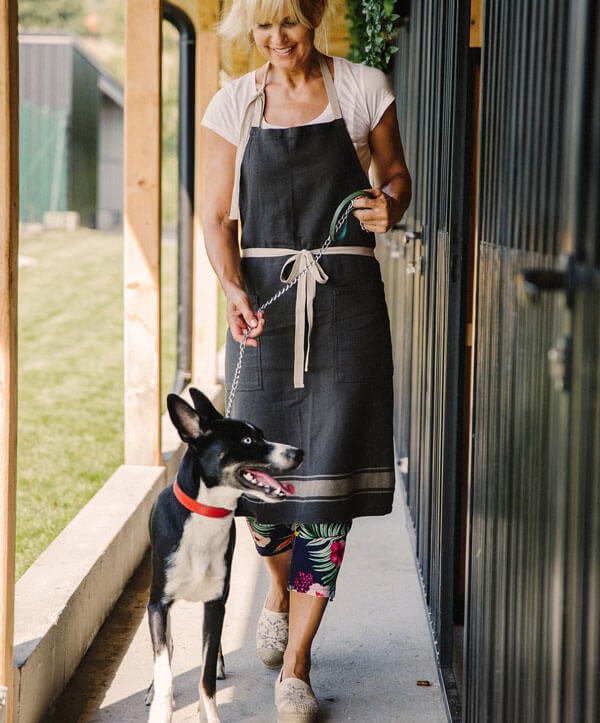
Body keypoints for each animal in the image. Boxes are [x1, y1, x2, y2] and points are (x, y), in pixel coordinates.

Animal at [145, 388, 303, 723]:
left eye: (262, 434)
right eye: (247, 440)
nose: (299, 452)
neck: (205, 516)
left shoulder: (216, 603)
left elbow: (205, 677)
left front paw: (209, 714)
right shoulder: (158, 604)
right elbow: (164, 667)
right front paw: (161, 705)